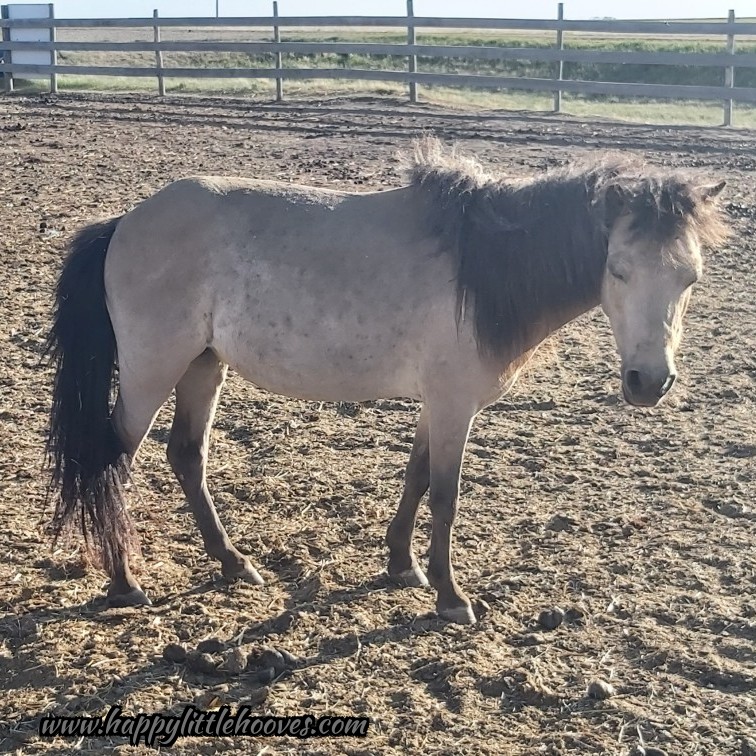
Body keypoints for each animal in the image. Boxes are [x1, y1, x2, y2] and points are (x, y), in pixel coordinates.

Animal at [45, 139, 728, 624]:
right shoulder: (455, 403)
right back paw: (125, 582)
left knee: (187, 456)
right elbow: (447, 496)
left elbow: (417, 476)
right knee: (111, 460)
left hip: (203, 365)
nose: (648, 382)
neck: (484, 265)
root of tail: (125, 222)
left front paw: (402, 565)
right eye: (618, 269)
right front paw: (452, 598)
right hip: (151, 369)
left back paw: (234, 563)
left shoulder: (437, 403)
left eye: (691, 277)